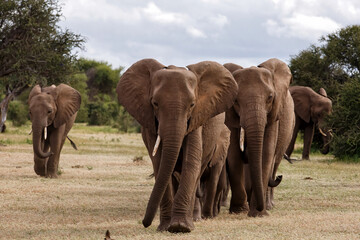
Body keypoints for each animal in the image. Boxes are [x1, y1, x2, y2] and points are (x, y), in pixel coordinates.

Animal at [116, 58, 238, 232]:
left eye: (192, 104)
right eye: (155, 103)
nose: (145, 223)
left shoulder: (196, 120)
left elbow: (191, 161)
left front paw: (180, 227)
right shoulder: (151, 123)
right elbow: (160, 164)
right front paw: (165, 227)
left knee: (197, 173)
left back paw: (193, 220)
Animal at [225, 58, 296, 218]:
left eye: (270, 98)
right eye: (236, 101)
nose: (280, 177)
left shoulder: (274, 115)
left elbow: (266, 153)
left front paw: (258, 213)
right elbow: (233, 154)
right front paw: (240, 210)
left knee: (275, 162)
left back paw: (269, 205)